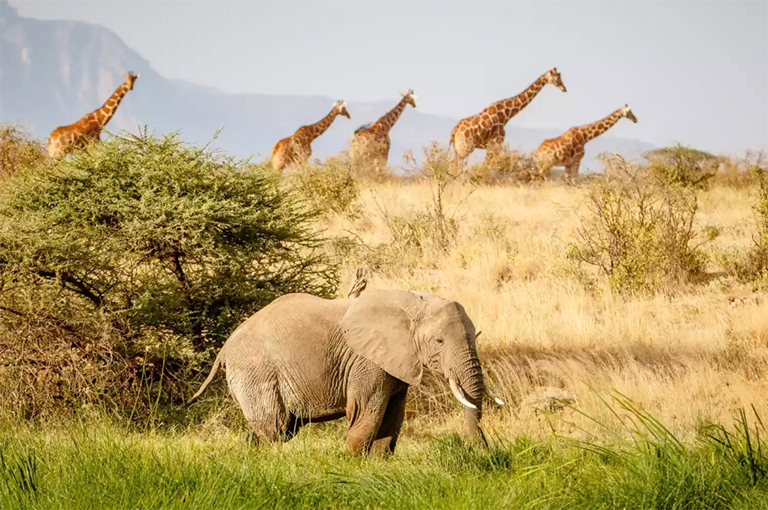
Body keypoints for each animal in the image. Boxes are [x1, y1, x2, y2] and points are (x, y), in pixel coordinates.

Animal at [189, 288, 504, 456]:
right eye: (438, 341)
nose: (488, 454)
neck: (412, 301)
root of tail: (225, 348)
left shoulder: (396, 363)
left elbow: (393, 415)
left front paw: (378, 465)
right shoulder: (367, 362)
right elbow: (367, 411)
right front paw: (353, 464)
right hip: (256, 370)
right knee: (274, 426)